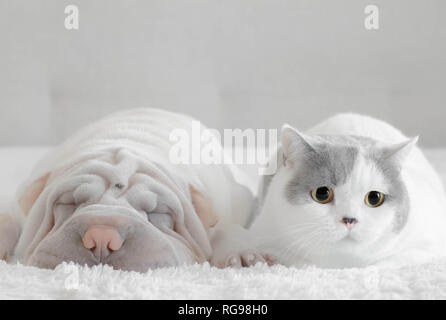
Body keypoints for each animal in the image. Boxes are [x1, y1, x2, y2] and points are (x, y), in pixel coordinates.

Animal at [215, 114, 446, 268]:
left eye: (374, 198)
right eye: (322, 194)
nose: (350, 220)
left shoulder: (430, 243)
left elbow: (385, 262)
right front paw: (245, 256)